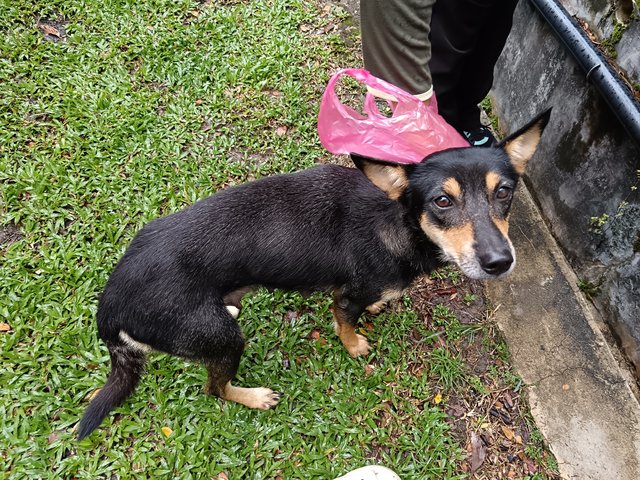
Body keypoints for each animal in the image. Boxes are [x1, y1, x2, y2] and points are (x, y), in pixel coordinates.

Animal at [79, 109, 552, 438]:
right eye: (442, 201)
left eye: (504, 192)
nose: (500, 261)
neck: (401, 221)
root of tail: (110, 306)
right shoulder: (347, 295)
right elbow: (345, 322)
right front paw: (355, 344)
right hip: (220, 339)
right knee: (215, 390)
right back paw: (253, 396)